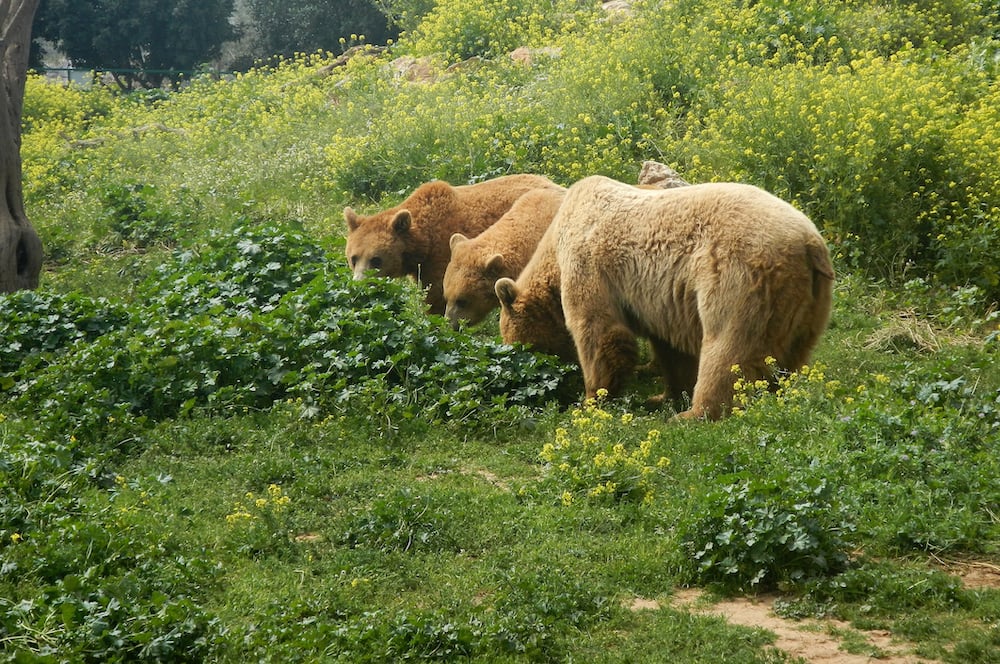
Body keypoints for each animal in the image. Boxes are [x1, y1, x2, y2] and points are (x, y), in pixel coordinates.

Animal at [346, 174, 560, 314]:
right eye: (353, 258)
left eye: (376, 259)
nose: (358, 283)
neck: (424, 242)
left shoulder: (440, 254)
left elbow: (435, 297)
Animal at [494, 174, 836, 418]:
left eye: (519, 345)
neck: (554, 247)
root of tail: (810, 243)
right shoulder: (662, 303)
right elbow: (673, 350)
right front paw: (662, 395)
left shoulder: (590, 263)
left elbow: (600, 332)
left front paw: (591, 399)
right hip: (806, 301)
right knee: (791, 355)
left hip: (742, 279)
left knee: (728, 348)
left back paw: (693, 415)